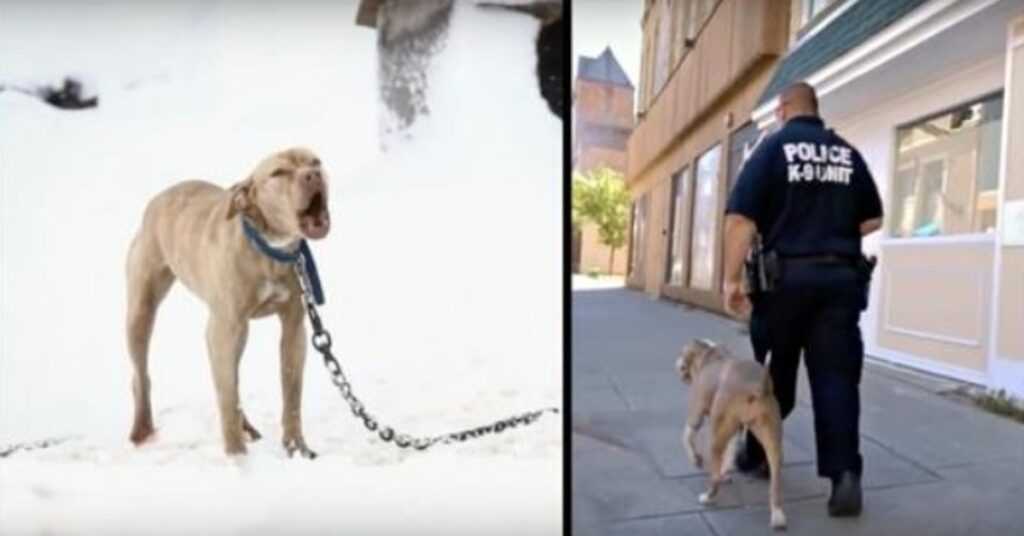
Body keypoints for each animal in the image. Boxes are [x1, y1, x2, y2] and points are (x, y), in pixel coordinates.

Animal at [125, 146, 329, 457]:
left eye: (315, 161)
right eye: (279, 173)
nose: (314, 175)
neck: (269, 249)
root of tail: (158, 199)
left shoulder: (293, 330)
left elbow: (291, 395)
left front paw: (297, 448)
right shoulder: (224, 328)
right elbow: (227, 395)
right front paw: (236, 456)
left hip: (235, 332)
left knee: (232, 379)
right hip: (141, 311)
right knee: (141, 375)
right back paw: (142, 429)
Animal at [675, 338, 786, 528]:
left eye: (682, 352)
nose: (676, 362)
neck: (708, 354)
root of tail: (759, 385)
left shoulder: (696, 413)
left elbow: (686, 436)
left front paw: (696, 459)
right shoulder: (734, 428)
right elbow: (730, 451)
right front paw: (725, 472)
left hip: (716, 436)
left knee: (714, 478)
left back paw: (707, 497)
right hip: (772, 438)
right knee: (775, 483)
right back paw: (778, 517)